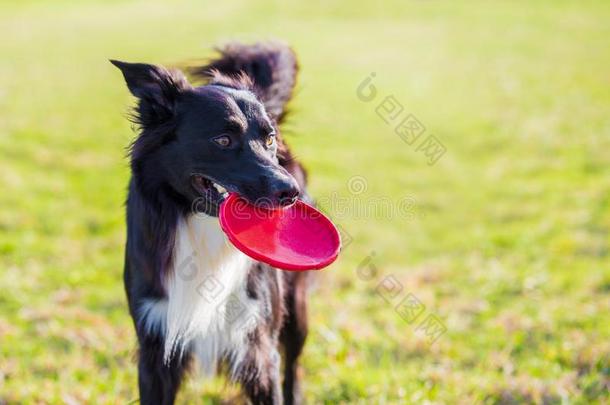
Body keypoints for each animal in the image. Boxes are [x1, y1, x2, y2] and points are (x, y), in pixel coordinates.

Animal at [111, 42, 308, 402]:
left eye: (269, 139)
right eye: (223, 140)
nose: (290, 192)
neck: (201, 224)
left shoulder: (259, 346)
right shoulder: (154, 344)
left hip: (296, 309)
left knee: (294, 366)